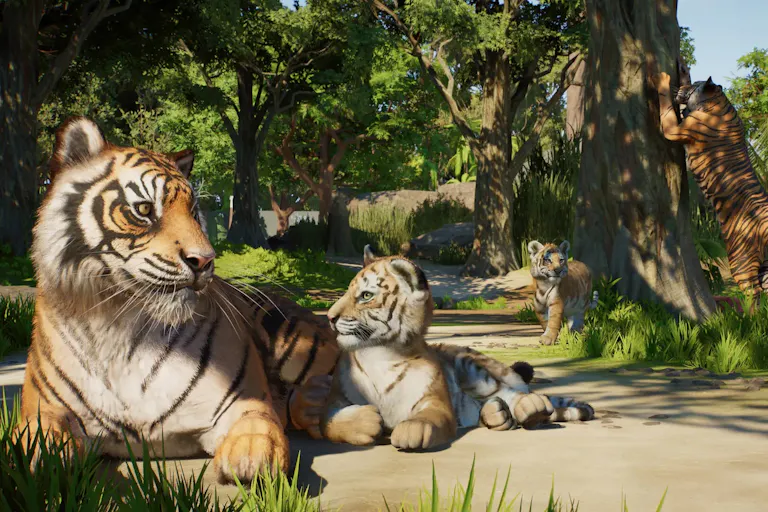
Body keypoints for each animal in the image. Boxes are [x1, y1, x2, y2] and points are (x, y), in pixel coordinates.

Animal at [17, 117, 339, 484]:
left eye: (195, 212)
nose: (205, 260)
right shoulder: (45, 408)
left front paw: (253, 457)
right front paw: (43, 462)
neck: (120, 325)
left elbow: (258, 422)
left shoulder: (242, 400)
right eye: (144, 209)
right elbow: (37, 438)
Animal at [319, 246, 594, 450]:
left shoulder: (435, 399)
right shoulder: (333, 400)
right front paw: (368, 421)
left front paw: (410, 430)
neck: (381, 354)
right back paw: (496, 414)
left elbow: (430, 418)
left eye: (366, 295)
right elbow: (330, 423)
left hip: (475, 369)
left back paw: (530, 407)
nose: (330, 317)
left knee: (513, 393)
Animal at [656, 71, 768, 298]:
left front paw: (662, 79)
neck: (718, 101)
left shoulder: (674, 129)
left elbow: (665, 105)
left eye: (694, 86)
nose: (682, 87)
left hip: (741, 262)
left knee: (752, 295)